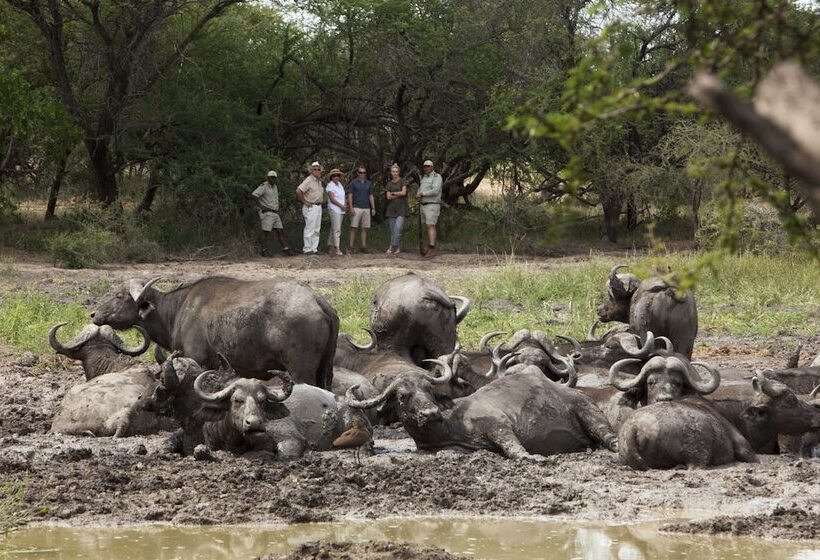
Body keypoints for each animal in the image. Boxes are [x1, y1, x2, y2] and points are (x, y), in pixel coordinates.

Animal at [91, 276, 339, 389]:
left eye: (119, 296)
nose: (94, 314)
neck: (178, 309)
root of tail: (317, 300)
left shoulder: (199, 361)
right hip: (325, 370)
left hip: (301, 371)